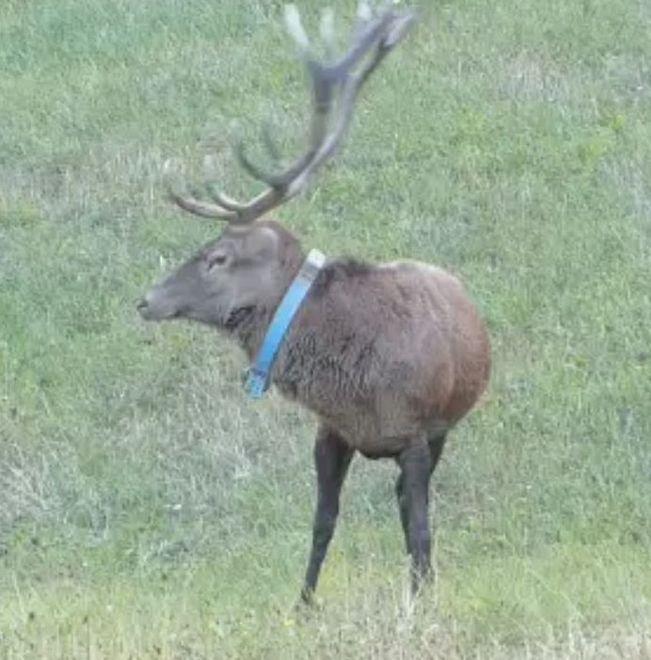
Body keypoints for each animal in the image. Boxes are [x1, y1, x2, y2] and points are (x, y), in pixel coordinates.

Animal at [137, 3, 491, 603]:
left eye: (217, 258)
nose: (147, 299)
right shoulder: (330, 432)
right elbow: (322, 523)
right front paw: (302, 606)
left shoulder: (417, 434)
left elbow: (420, 527)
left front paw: (420, 603)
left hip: (442, 428)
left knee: (409, 511)